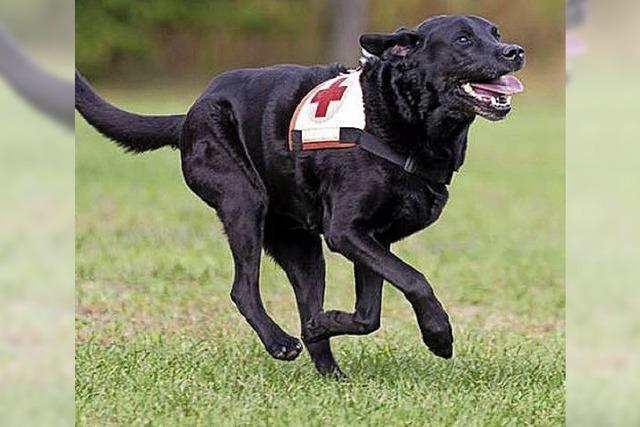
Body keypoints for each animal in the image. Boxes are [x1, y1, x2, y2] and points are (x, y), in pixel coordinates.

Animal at [76, 15, 524, 378]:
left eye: (496, 33)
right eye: (463, 39)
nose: (515, 51)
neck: (398, 116)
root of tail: (189, 115)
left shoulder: (374, 240)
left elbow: (368, 314)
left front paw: (325, 322)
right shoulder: (346, 232)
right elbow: (415, 279)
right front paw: (439, 335)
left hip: (303, 250)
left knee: (306, 304)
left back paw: (330, 370)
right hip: (243, 201)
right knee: (242, 289)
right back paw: (279, 342)